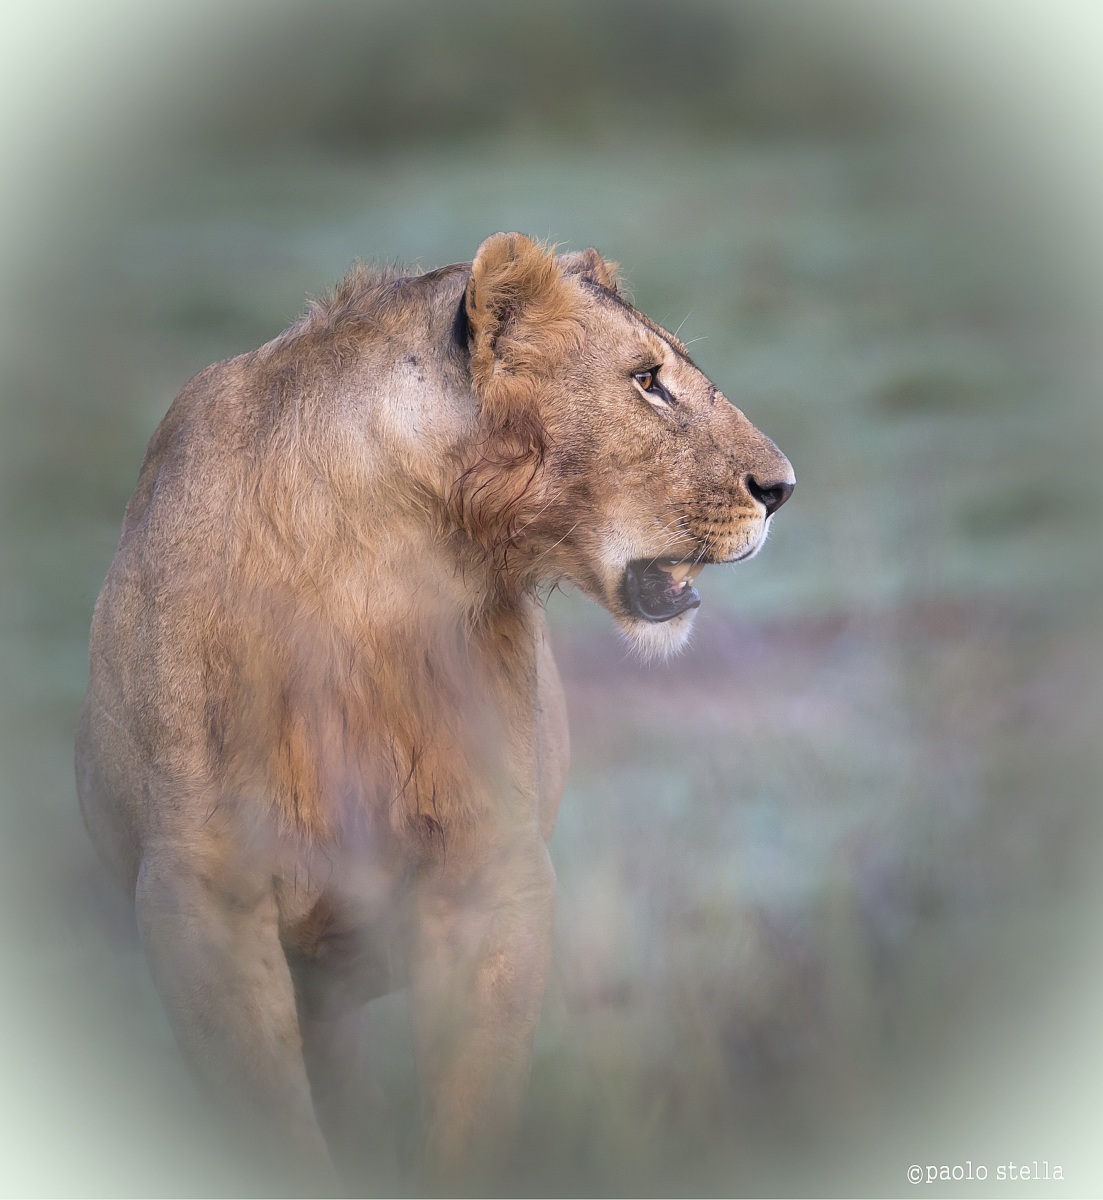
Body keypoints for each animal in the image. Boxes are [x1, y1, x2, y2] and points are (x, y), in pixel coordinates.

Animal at [75, 233, 793, 1191]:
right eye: (646, 379)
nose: (781, 487)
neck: (375, 571)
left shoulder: (493, 871)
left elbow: (469, 1104)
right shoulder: (200, 900)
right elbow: (269, 1115)